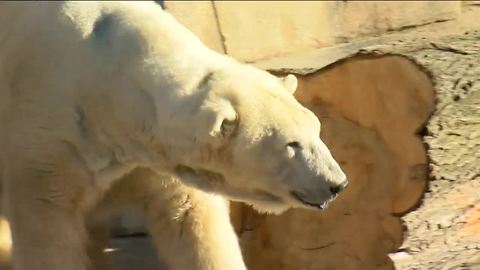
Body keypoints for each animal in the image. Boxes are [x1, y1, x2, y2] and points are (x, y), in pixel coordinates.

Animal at [0, 2, 346, 270]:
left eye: (316, 130)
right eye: (291, 144)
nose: (337, 184)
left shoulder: (154, 156)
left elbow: (193, 223)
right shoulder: (50, 138)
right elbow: (47, 227)